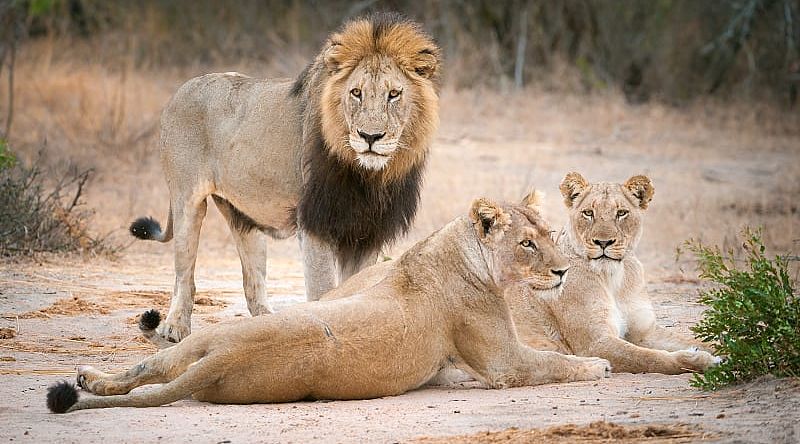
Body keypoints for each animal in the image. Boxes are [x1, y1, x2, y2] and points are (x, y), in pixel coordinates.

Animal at [48, 198, 612, 412]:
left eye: (552, 235)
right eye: (527, 244)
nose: (563, 272)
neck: (459, 252)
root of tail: (226, 355)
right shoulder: (503, 363)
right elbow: (555, 363)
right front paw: (597, 365)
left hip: (198, 345)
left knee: (149, 366)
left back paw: (90, 380)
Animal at [128, 13, 440, 340]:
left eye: (394, 94)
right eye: (356, 93)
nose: (370, 137)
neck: (368, 177)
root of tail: (181, 89)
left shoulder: (366, 233)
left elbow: (355, 289)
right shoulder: (316, 225)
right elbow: (324, 291)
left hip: (243, 217)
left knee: (252, 284)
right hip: (187, 201)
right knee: (183, 274)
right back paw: (174, 327)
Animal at [506, 173, 720, 374]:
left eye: (621, 213)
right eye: (588, 213)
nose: (603, 242)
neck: (614, 278)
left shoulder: (645, 332)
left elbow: (698, 342)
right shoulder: (595, 344)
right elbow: (649, 358)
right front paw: (702, 360)